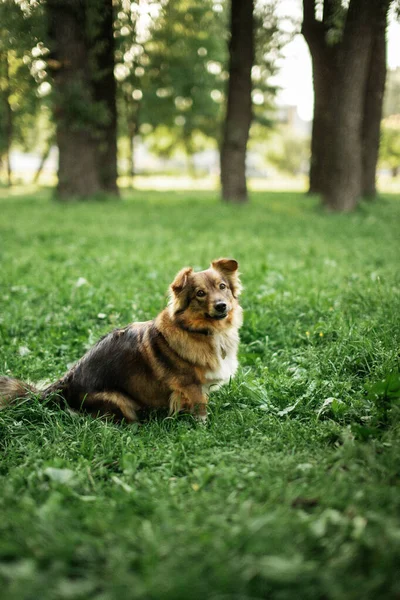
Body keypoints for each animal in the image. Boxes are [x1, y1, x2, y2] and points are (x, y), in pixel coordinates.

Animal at [0, 258, 242, 422]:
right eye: (200, 293)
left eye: (222, 287)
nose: (222, 306)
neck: (202, 330)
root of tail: (64, 384)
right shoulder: (188, 384)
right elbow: (200, 408)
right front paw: (203, 427)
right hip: (119, 401)